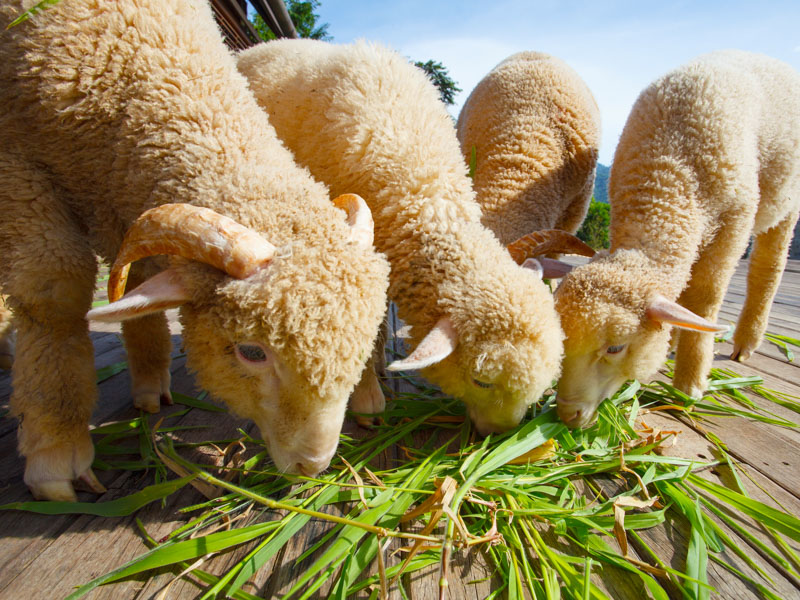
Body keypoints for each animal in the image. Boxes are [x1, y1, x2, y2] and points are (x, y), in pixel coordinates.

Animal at [0, 1, 390, 502]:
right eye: (252, 352)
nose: (312, 466)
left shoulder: (123, 199)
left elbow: (139, 289)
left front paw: (149, 382)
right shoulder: (17, 164)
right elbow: (54, 290)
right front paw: (55, 445)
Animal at [552, 50, 800, 426]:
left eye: (615, 347)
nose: (568, 415)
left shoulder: (735, 220)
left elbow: (705, 297)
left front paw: (690, 383)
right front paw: (673, 342)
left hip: (785, 203)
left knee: (767, 268)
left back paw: (746, 341)